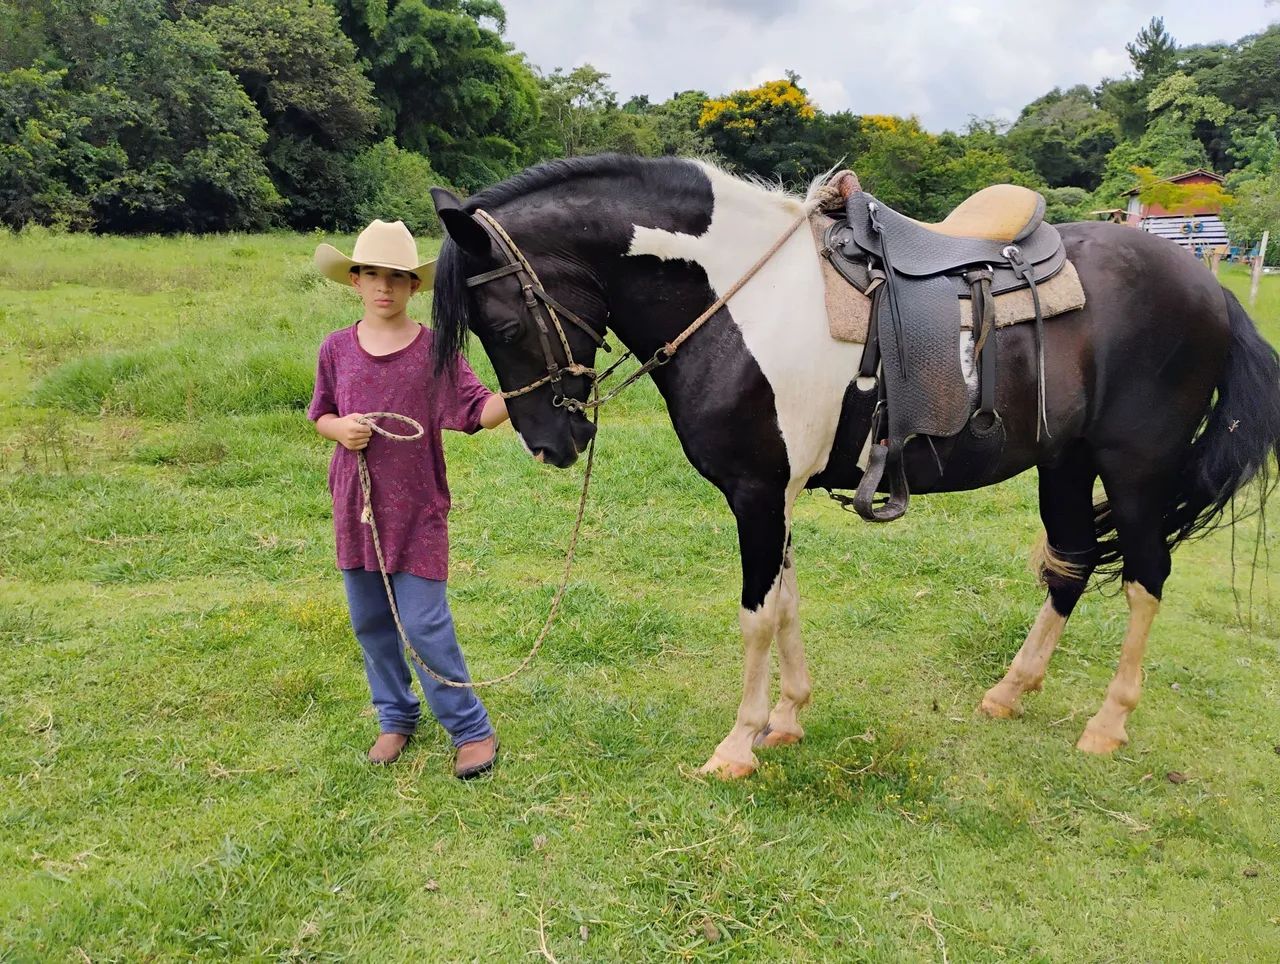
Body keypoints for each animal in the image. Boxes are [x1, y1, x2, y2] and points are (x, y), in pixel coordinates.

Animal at [427, 154, 1280, 779]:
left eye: (503, 324)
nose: (550, 445)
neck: (743, 301)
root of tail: (1208, 288)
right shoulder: (775, 495)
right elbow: (787, 603)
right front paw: (787, 718)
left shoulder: (756, 493)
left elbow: (758, 613)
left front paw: (737, 744)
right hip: (1064, 464)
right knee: (1071, 564)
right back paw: (1011, 691)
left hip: (1135, 472)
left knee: (1144, 578)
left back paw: (1108, 722)